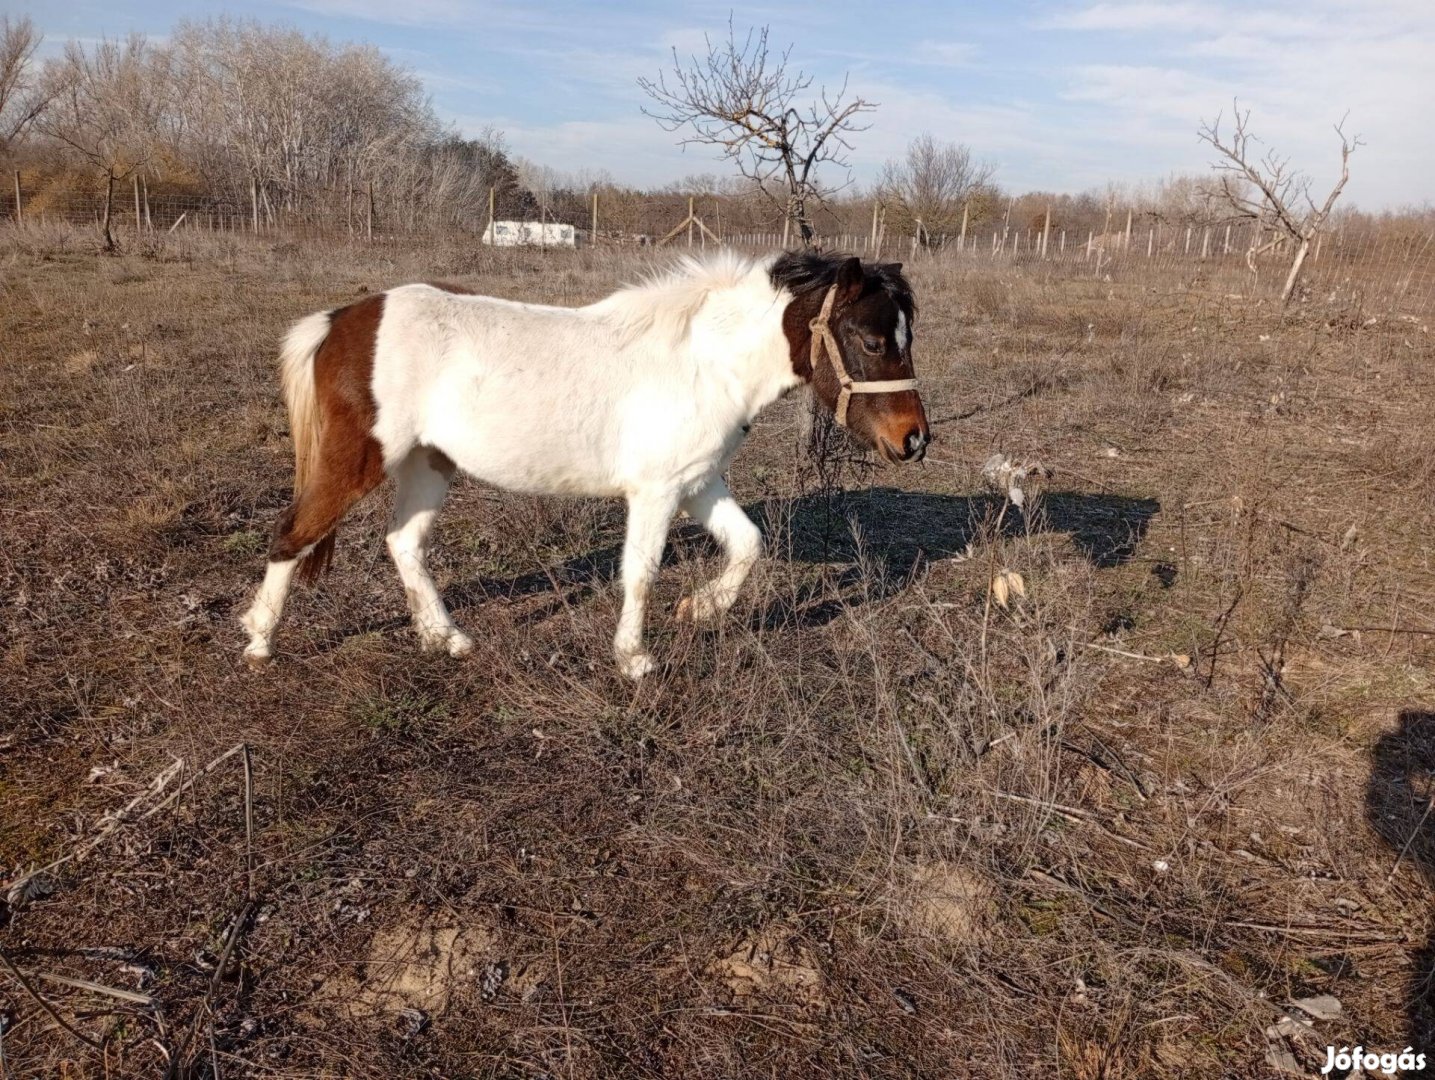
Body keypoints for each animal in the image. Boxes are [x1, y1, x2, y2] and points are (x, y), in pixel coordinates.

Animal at [241, 248, 929, 676]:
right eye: (872, 340)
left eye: (906, 337)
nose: (914, 440)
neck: (704, 361)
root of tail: (341, 320)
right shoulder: (656, 492)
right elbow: (640, 573)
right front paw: (634, 659)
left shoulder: (697, 483)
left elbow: (747, 545)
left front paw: (700, 610)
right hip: (358, 459)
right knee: (292, 534)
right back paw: (258, 641)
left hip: (428, 464)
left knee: (402, 543)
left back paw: (445, 637)